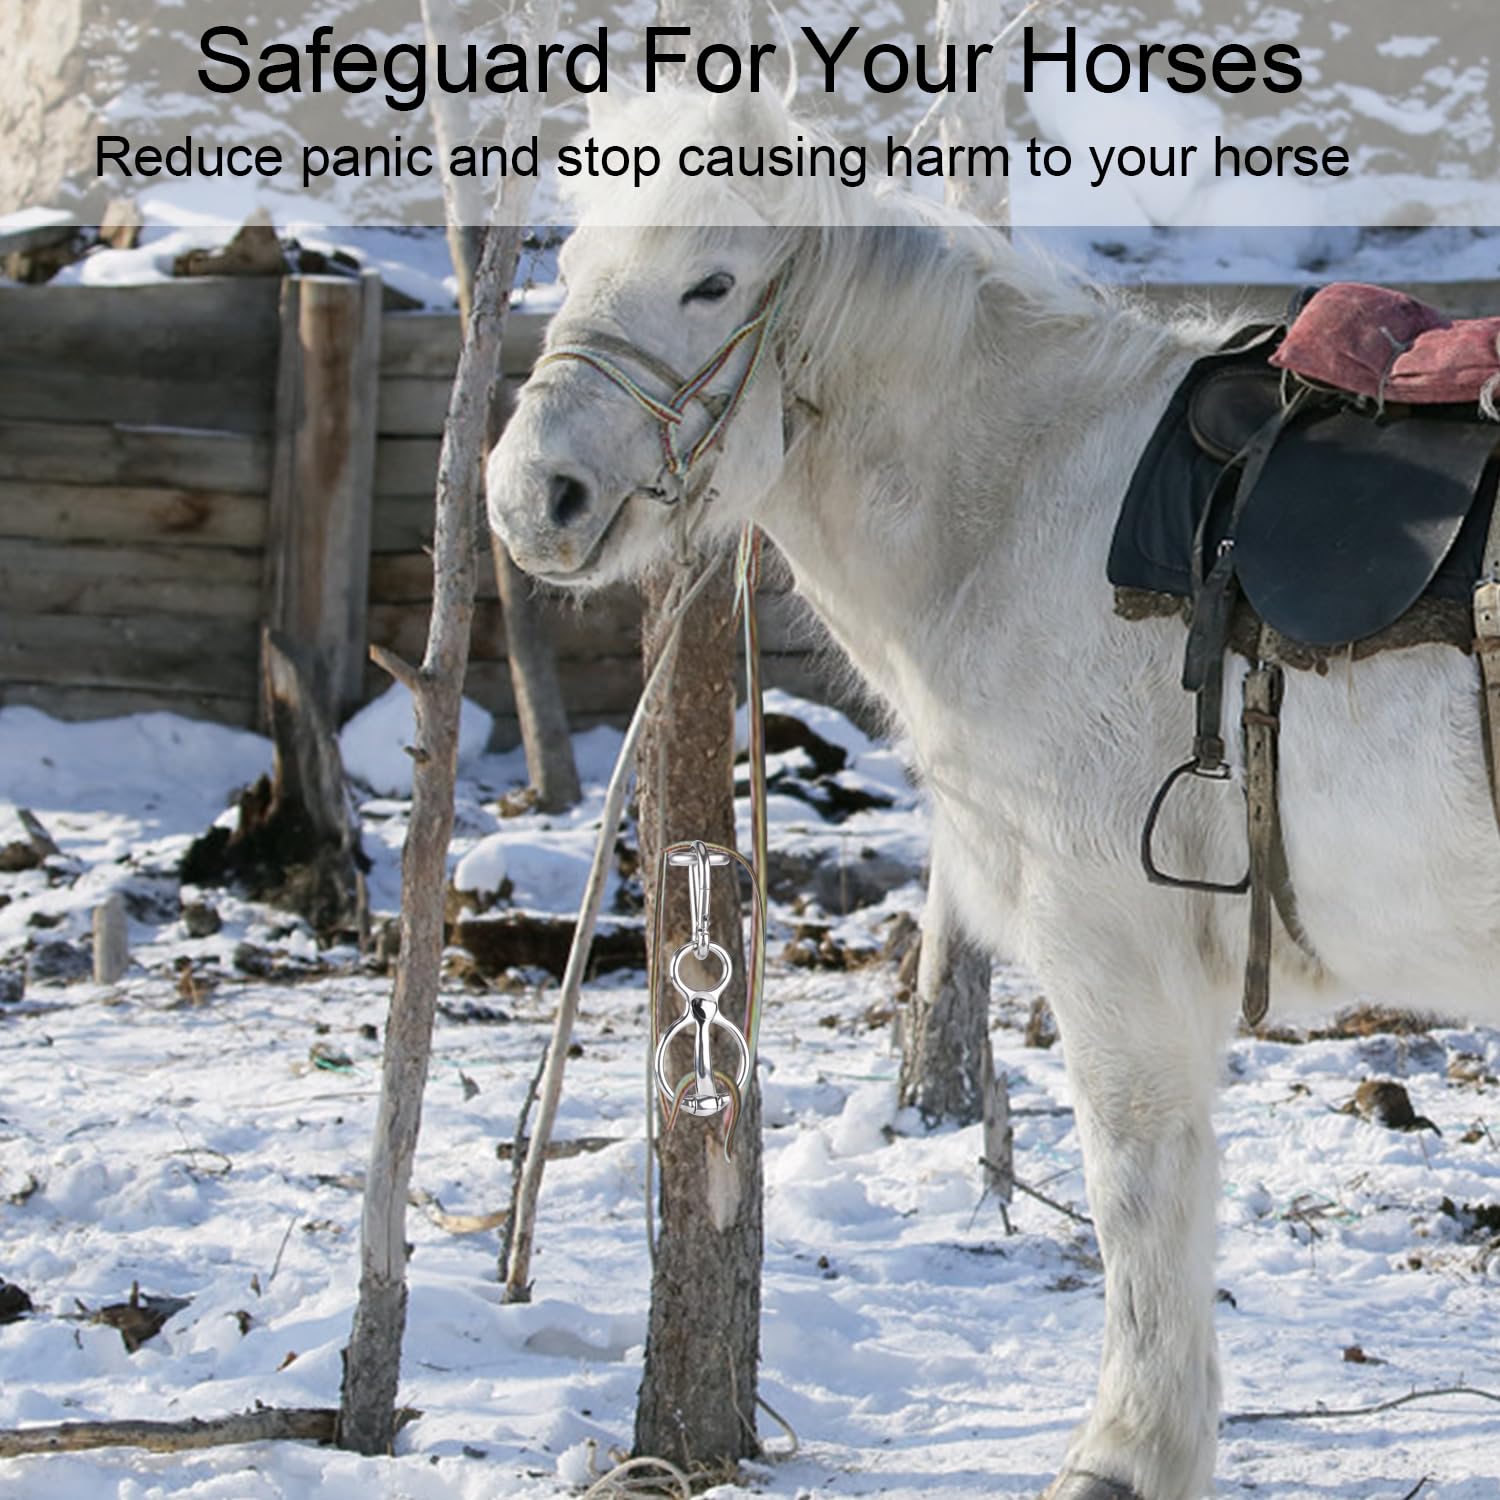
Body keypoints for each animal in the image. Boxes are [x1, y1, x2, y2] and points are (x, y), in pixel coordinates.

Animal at [485, 88, 1500, 1500]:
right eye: (572, 266)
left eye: (711, 282)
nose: (536, 499)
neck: (1026, 511)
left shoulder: (1113, 943)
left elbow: (1139, 1190)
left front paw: (1129, 1453)